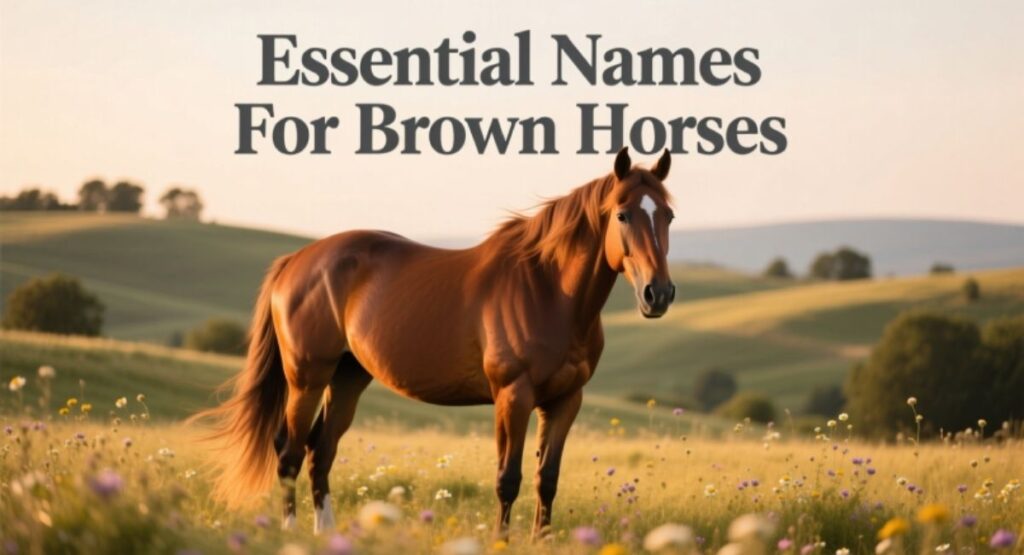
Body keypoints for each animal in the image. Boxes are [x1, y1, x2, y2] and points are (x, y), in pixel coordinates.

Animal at [192, 147, 676, 540]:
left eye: (668, 216)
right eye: (622, 214)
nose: (658, 294)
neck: (547, 291)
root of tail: (296, 260)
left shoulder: (565, 400)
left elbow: (547, 478)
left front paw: (542, 540)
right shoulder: (513, 396)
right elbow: (508, 478)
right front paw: (501, 541)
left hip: (348, 377)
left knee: (320, 452)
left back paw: (326, 534)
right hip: (307, 378)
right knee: (290, 453)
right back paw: (293, 533)